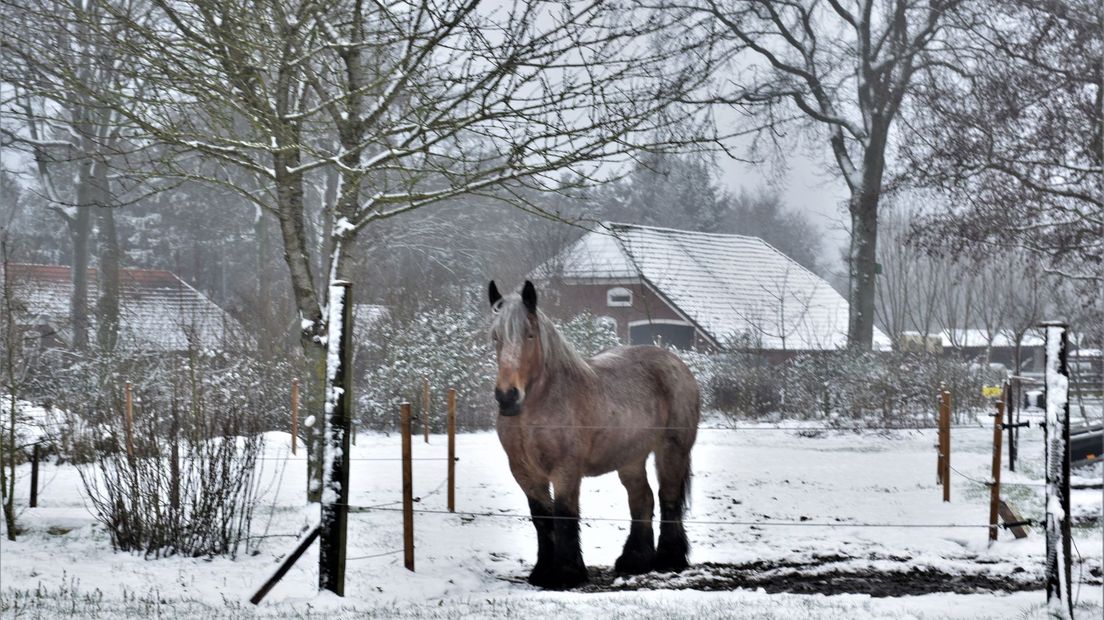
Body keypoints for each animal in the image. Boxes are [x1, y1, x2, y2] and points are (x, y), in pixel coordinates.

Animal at [490, 280, 697, 586]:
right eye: (496, 336)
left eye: (529, 334)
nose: (507, 396)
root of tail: (677, 363)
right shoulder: (524, 472)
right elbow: (542, 518)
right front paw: (542, 571)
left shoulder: (566, 469)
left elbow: (564, 515)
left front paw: (566, 573)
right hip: (631, 458)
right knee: (642, 499)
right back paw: (635, 560)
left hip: (672, 451)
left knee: (668, 498)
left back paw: (670, 559)